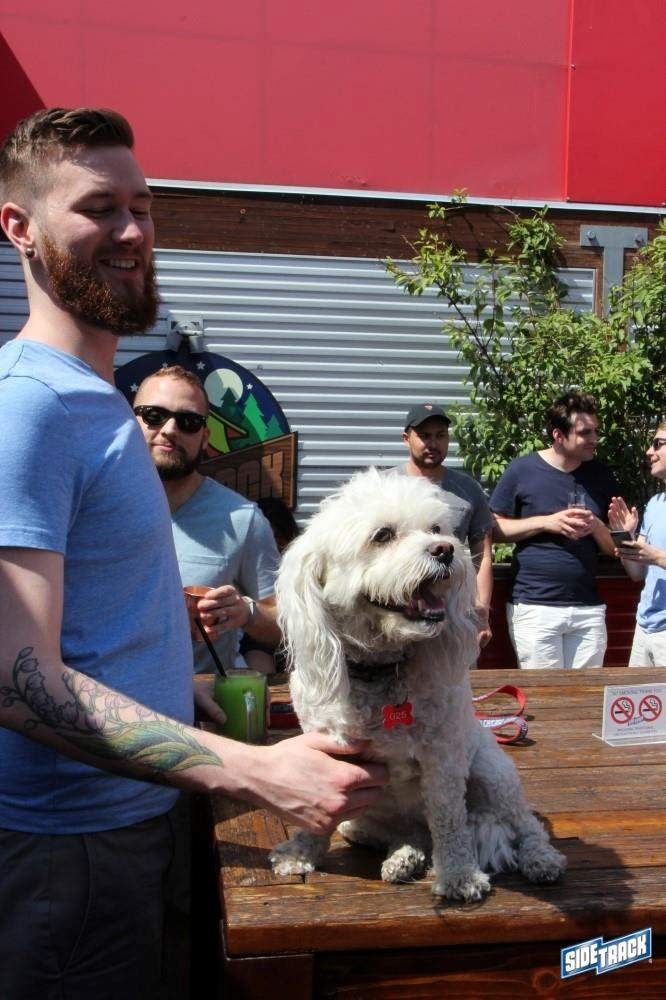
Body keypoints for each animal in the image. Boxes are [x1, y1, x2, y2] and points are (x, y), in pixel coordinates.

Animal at [269, 468, 566, 902]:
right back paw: (404, 857)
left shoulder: (442, 757)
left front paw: (459, 875)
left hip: (494, 773)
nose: (445, 550)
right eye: (382, 535)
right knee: (409, 833)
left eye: (437, 529)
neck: (382, 670)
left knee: (523, 825)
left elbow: (448, 820)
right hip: (360, 822)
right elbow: (318, 809)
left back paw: (540, 858)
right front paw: (301, 853)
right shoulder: (329, 752)